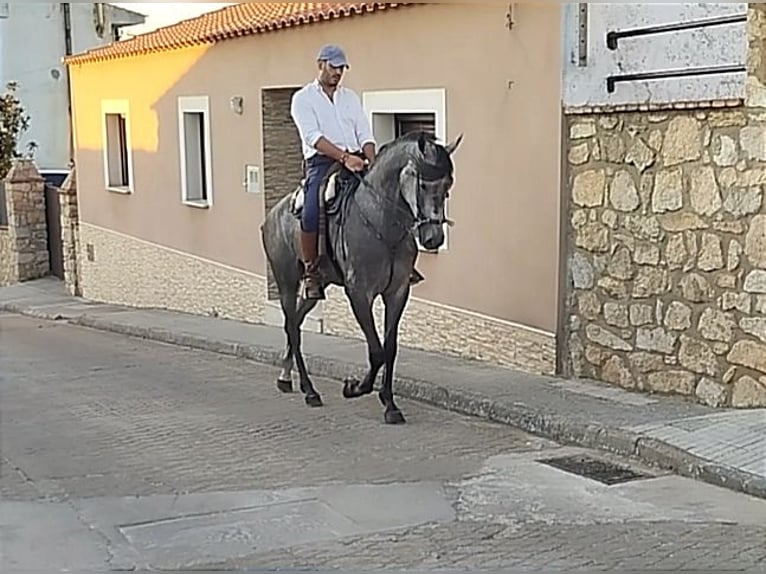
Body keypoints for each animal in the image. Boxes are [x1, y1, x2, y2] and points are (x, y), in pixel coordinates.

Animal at [260, 132, 462, 428]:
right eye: (423, 184)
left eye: (448, 183)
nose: (433, 238)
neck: (381, 223)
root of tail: (272, 215)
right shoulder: (359, 294)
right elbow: (376, 351)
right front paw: (354, 387)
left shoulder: (397, 292)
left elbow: (389, 348)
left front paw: (390, 404)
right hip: (286, 281)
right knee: (293, 329)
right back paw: (309, 391)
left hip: (317, 287)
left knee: (294, 322)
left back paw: (286, 378)